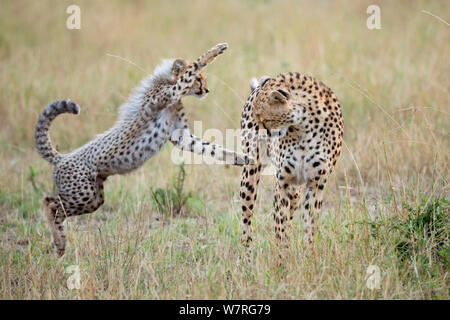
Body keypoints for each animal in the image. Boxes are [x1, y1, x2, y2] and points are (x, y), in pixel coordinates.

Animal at [36, 43, 250, 256]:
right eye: (199, 79)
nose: (206, 89)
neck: (167, 82)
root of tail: (61, 157)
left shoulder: (182, 137)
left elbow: (211, 148)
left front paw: (240, 157)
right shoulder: (170, 95)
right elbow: (192, 67)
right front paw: (216, 50)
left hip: (93, 199)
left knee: (56, 207)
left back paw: (60, 243)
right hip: (83, 193)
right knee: (50, 203)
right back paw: (59, 241)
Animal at [241, 72, 342, 255]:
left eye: (264, 118)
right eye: (256, 117)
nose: (261, 134)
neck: (304, 127)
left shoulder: (316, 183)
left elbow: (309, 226)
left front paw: (309, 257)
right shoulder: (283, 183)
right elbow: (280, 228)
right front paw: (283, 257)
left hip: (296, 191)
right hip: (250, 174)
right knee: (246, 220)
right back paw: (247, 258)